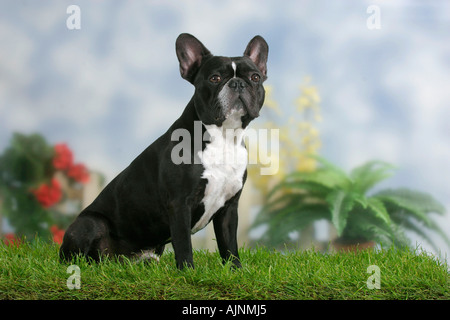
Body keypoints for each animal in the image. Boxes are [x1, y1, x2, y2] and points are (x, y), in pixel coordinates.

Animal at [61, 32, 268, 268]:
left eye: (255, 77)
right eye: (215, 78)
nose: (237, 83)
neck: (223, 138)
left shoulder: (229, 209)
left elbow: (229, 245)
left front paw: (236, 270)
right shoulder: (179, 204)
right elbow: (184, 244)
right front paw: (188, 271)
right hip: (89, 224)